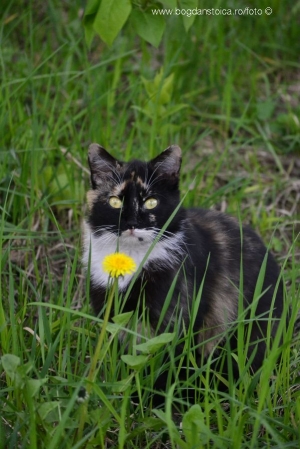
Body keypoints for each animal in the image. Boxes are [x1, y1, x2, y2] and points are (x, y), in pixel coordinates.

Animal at [82, 143, 284, 400]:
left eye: (151, 202)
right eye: (115, 202)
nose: (132, 223)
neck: (133, 258)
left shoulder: (177, 320)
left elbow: (167, 366)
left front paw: (154, 400)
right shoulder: (109, 313)